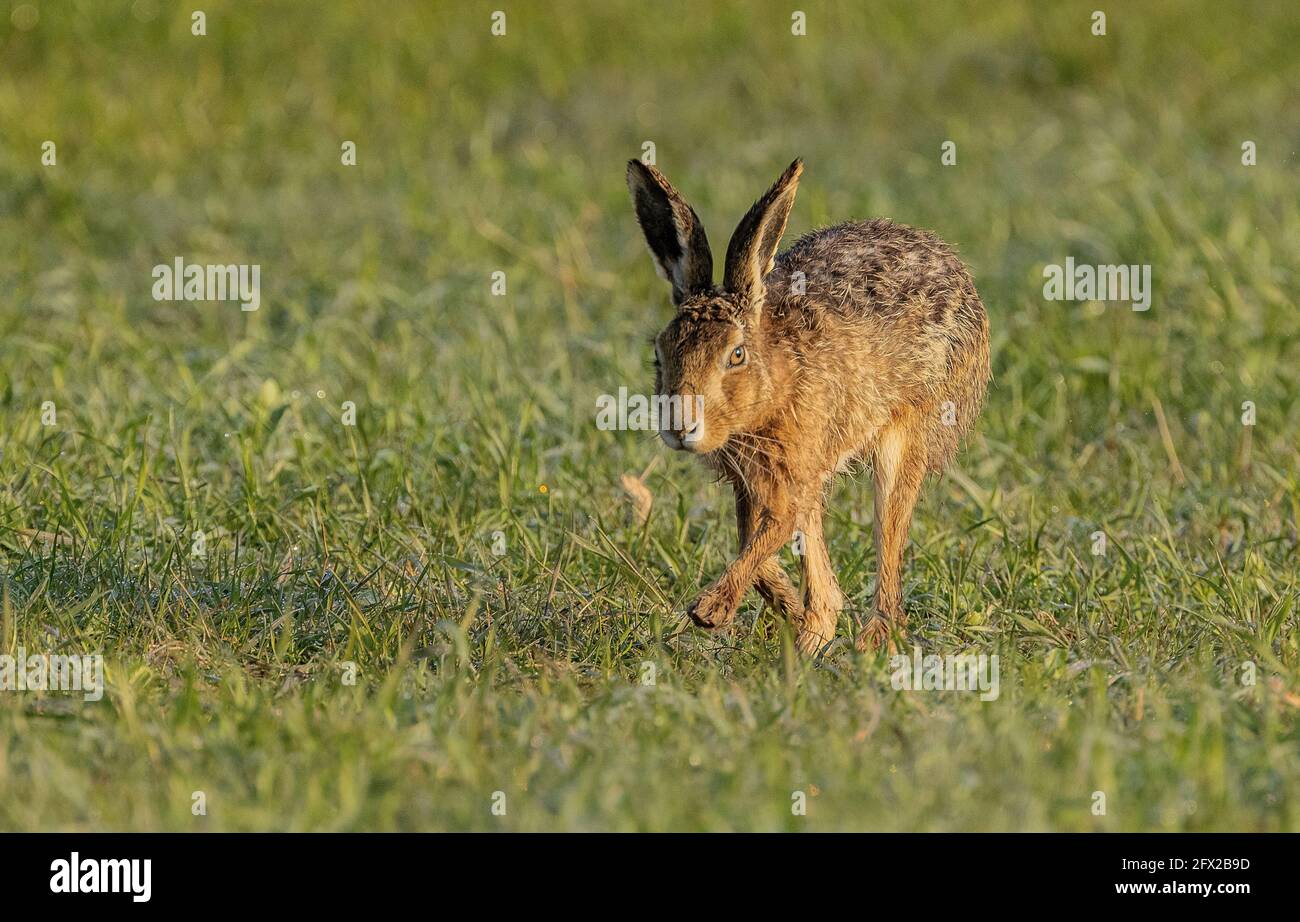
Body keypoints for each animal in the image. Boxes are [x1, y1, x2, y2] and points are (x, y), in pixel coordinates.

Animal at [626, 157, 989, 653]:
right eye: (659, 354)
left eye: (735, 355)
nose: (681, 427)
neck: (774, 380)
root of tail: (956, 267)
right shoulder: (751, 478)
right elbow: (753, 536)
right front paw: (785, 604)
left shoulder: (798, 463)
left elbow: (774, 527)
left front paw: (710, 610)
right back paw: (813, 630)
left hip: (911, 430)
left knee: (889, 533)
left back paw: (869, 640)